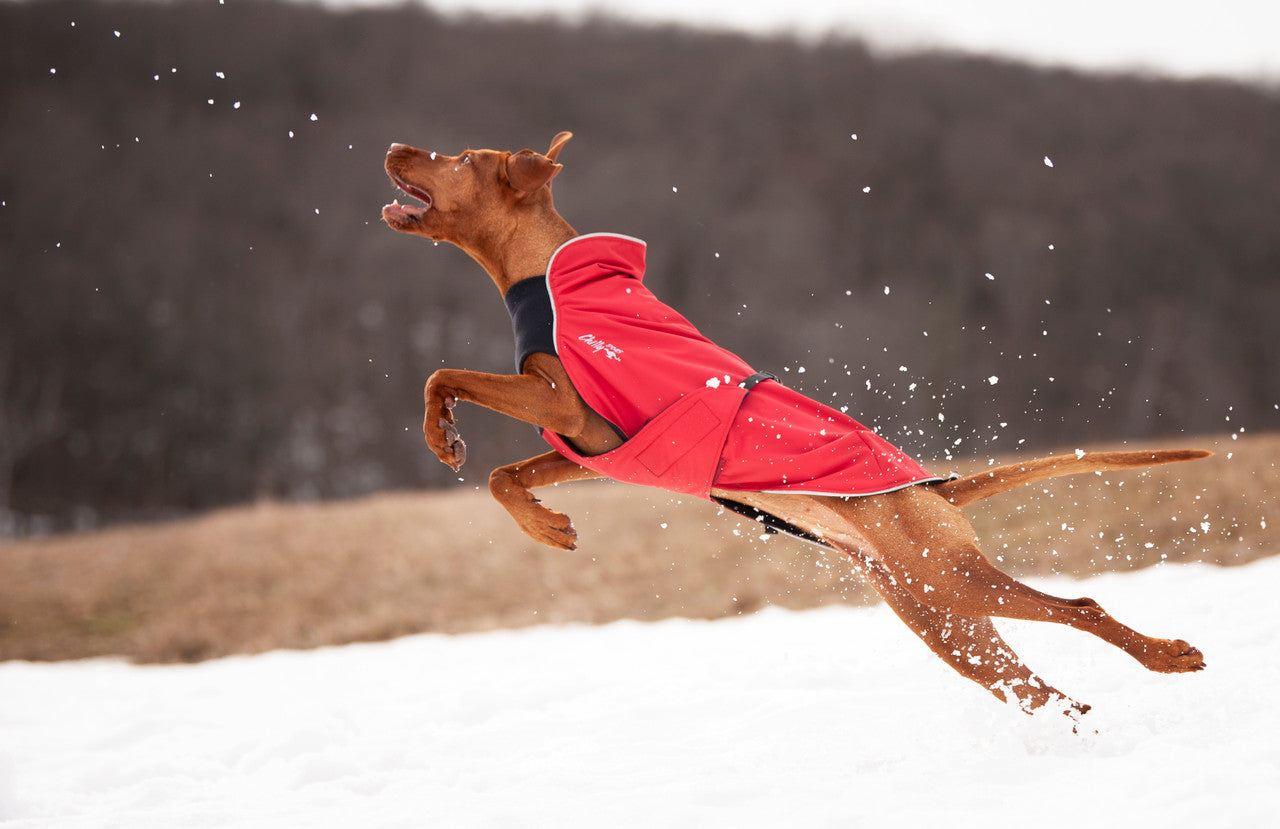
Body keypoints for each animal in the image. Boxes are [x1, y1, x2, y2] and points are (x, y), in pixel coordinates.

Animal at [378, 133, 1208, 716]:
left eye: (459, 156)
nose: (393, 146)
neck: (546, 274)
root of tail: (934, 489)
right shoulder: (598, 447)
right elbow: (502, 473)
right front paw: (544, 522)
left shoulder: (564, 403)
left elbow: (441, 373)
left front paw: (440, 433)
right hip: (938, 612)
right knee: (1031, 686)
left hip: (949, 578)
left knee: (1081, 606)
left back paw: (1166, 658)